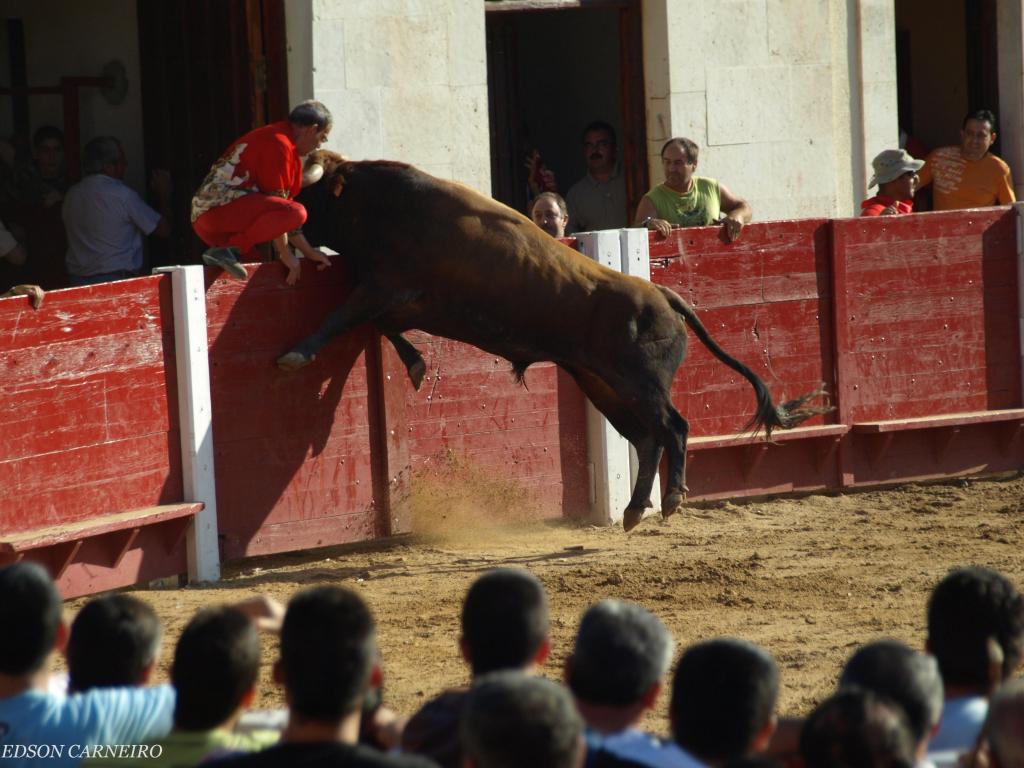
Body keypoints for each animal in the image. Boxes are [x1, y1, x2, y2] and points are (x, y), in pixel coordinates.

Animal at [282, 152, 831, 532]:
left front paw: (293, 354)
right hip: (601, 384)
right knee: (647, 437)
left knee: (674, 426)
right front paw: (416, 366)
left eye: (309, 194)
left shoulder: (383, 285)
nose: (286, 223)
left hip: (640, 382)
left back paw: (670, 500)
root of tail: (661, 293)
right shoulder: (399, 300)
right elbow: (378, 328)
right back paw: (634, 509)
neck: (378, 202)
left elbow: (342, 318)